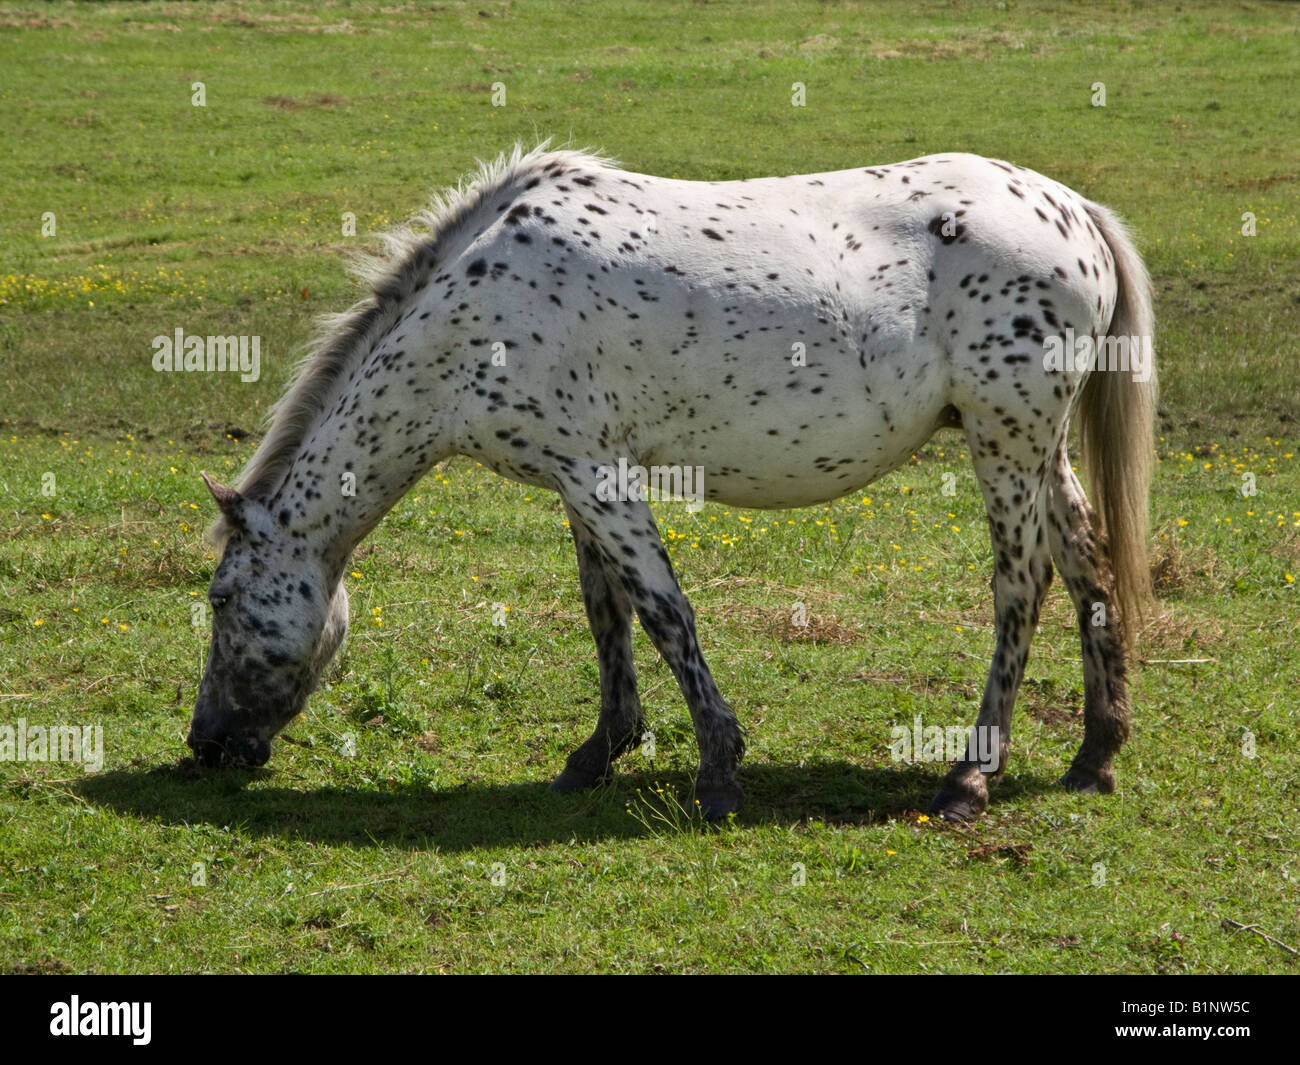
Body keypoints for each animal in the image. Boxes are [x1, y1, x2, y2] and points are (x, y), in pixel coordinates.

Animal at [188, 143, 1154, 827]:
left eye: (221, 598)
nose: (204, 744)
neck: (473, 314)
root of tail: (1074, 211)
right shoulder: (578, 479)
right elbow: (605, 611)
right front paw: (599, 750)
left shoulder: (602, 481)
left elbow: (664, 614)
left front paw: (718, 770)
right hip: (1038, 448)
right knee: (1088, 566)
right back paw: (1095, 755)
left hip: (1005, 442)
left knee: (1021, 586)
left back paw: (969, 776)